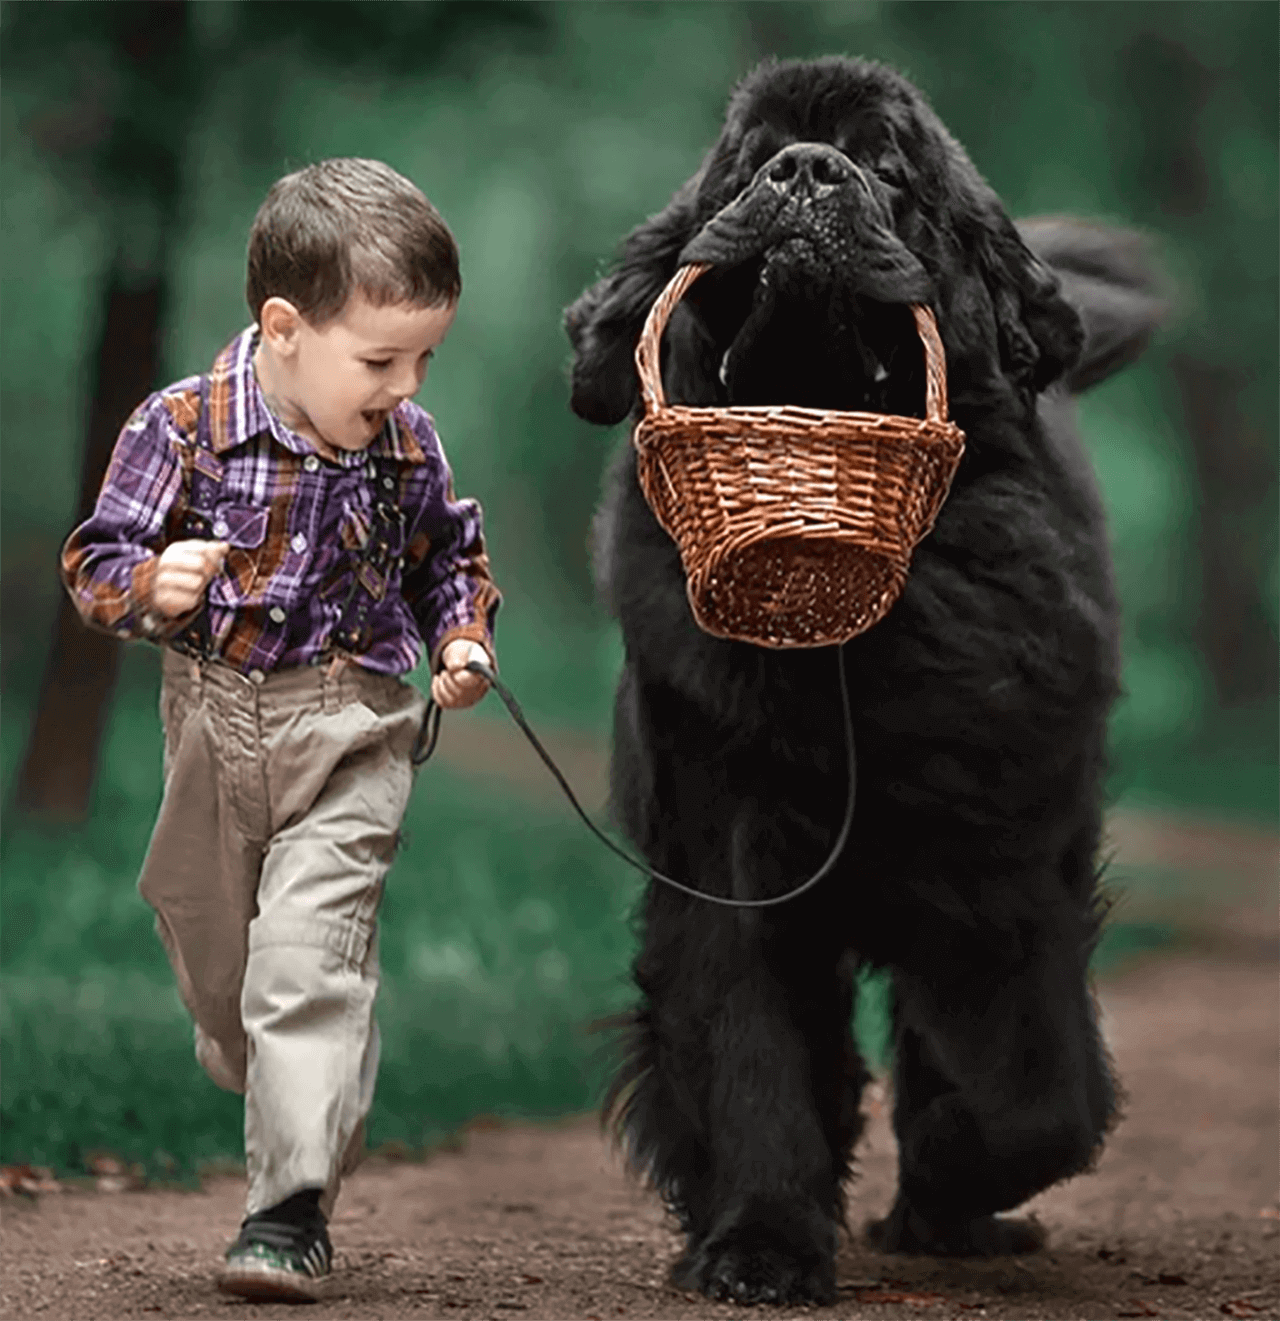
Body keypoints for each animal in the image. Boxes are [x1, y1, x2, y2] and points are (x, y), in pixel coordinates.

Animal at [565, 56, 1162, 1305]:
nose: (806, 170)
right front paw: (755, 1244)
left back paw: (948, 1212)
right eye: (747, 164)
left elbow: (1028, 1089)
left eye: (887, 166)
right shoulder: (727, 845)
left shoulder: (1004, 868)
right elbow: (752, 1051)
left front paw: (950, 1176)